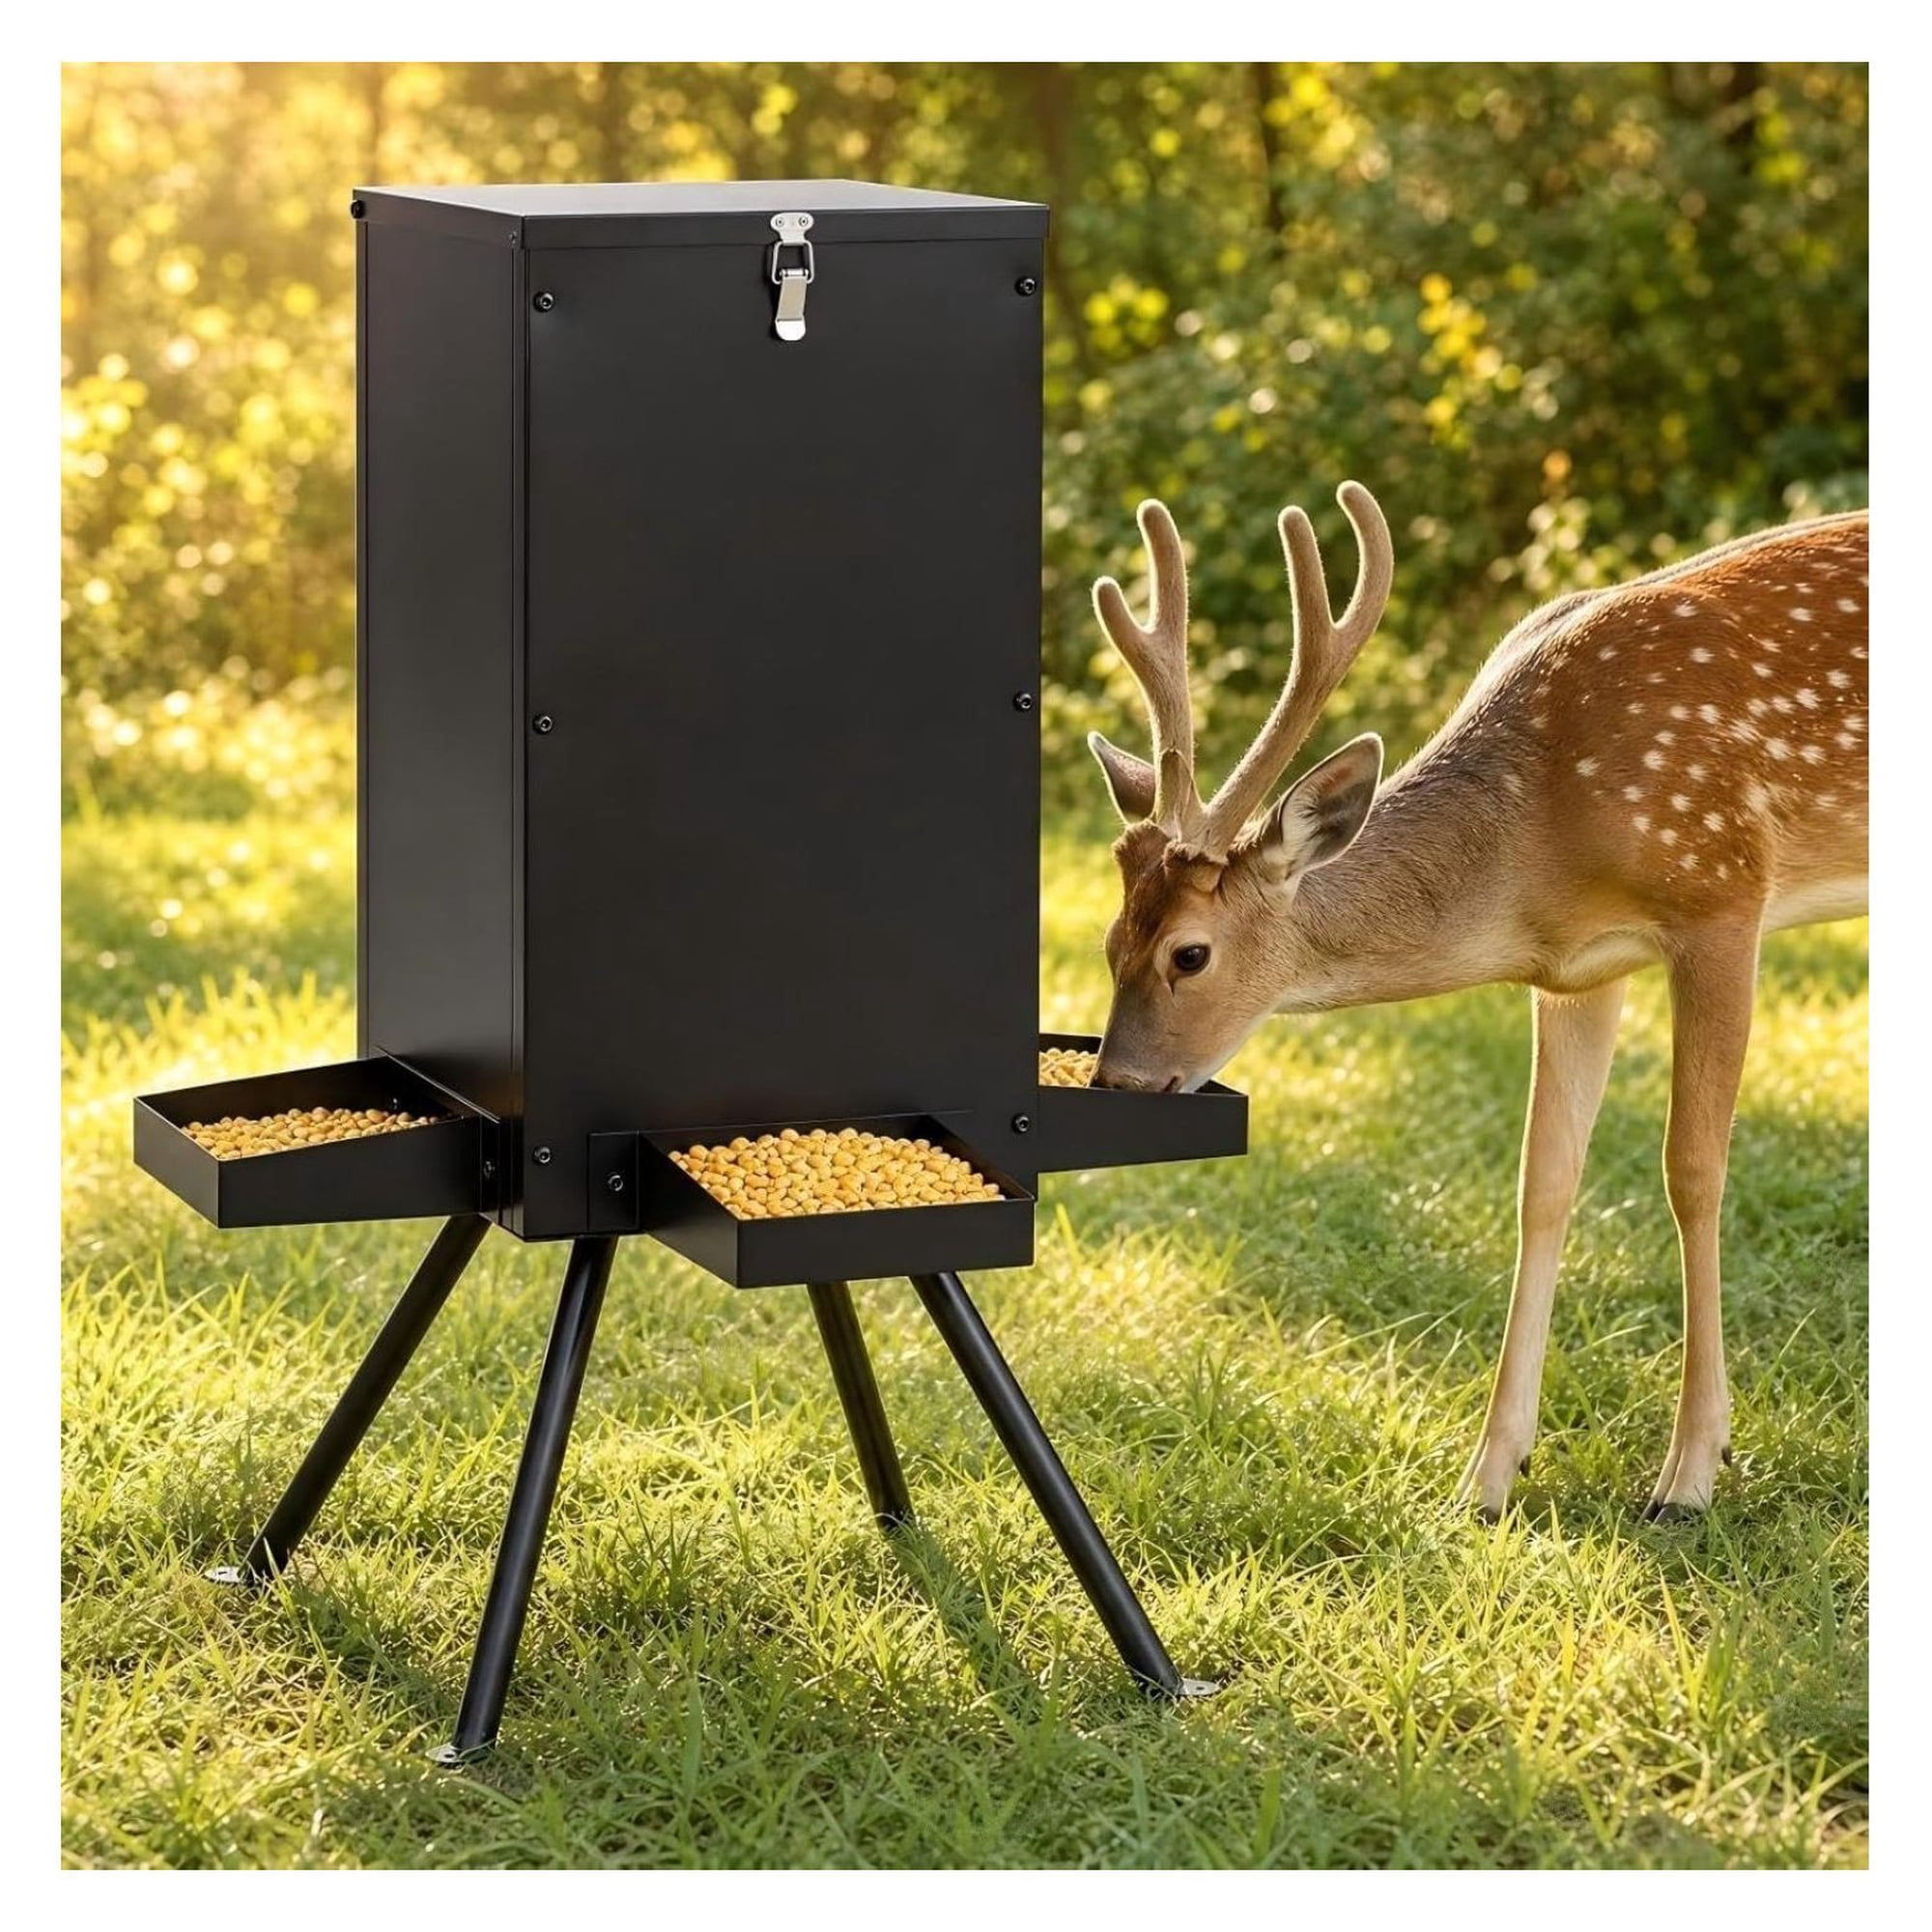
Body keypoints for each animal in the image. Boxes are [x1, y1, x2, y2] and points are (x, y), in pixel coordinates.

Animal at [1083, 481, 1868, 1519]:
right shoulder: (1580, 971)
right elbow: (1545, 1184)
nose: (1117, 1084)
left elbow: (1693, 1172)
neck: (1538, 838)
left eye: (1190, 953)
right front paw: (1488, 1477)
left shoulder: (1720, 894)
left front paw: (1690, 1474)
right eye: (1109, 942)